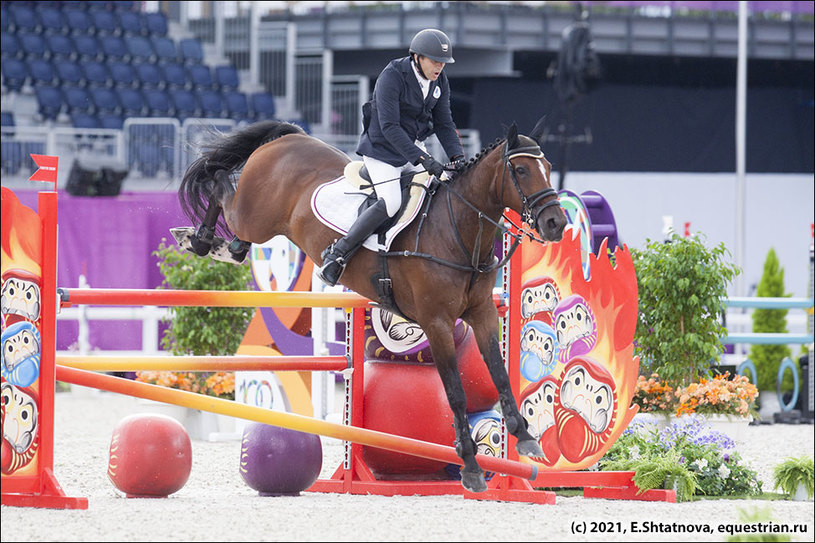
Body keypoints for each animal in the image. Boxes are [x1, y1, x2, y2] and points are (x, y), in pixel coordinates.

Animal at [174, 120, 568, 492]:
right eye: (521, 170)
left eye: (549, 166)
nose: (556, 224)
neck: (457, 228)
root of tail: (289, 138)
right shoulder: (436, 322)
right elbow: (455, 393)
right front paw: (471, 468)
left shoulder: (483, 313)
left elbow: (500, 375)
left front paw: (527, 439)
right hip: (254, 216)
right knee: (219, 182)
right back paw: (197, 238)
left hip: (259, 224)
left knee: (236, 232)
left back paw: (221, 247)